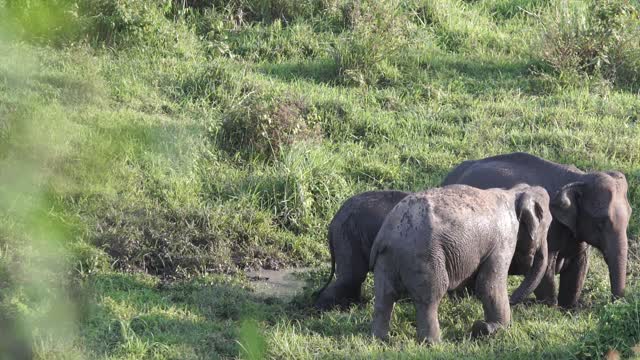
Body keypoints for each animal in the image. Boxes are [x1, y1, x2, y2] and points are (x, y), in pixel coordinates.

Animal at [370, 184, 552, 344]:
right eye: (548, 224)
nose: (513, 299)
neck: (514, 192)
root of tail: (387, 234)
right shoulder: (503, 240)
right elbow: (489, 284)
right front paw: (495, 329)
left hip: (386, 259)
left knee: (384, 296)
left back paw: (381, 340)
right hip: (424, 256)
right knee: (430, 297)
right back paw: (433, 343)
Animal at [442, 151, 632, 306]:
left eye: (630, 214)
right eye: (600, 222)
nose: (614, 302)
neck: (580, 177)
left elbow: (578, 268)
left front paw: (568, 308)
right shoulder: (549, 229)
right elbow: (546, 267)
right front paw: (551, 307)